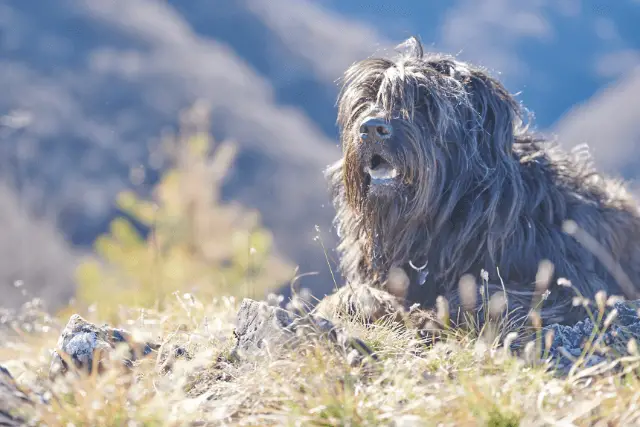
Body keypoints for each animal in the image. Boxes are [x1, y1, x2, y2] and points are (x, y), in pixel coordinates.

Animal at [328, 36, 640, 326]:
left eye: (424, 102)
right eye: (368, 99)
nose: (371, 128)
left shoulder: (575, 285)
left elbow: (492, 294)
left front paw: (432, 315)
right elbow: (353, 293)